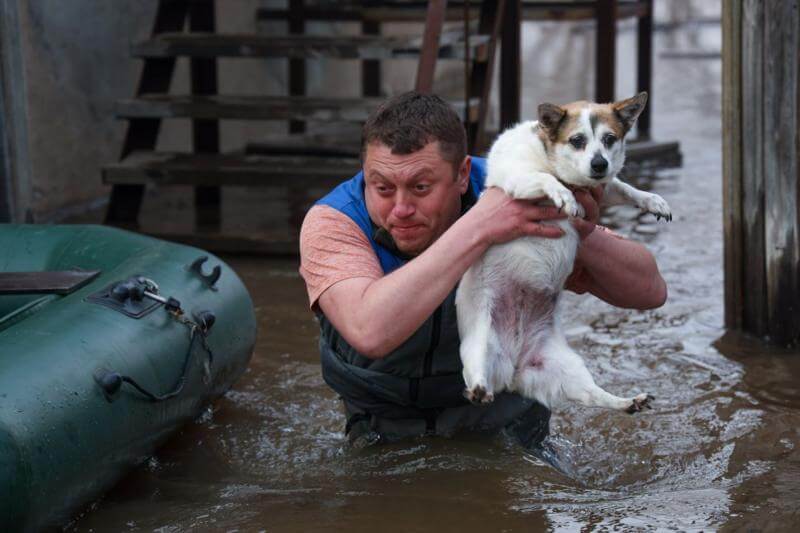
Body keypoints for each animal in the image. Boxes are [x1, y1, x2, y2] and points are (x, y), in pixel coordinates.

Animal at [456, 92, 668, 412]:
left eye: (609, 139)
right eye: (577, 140)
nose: (599, 164)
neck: (552, 159)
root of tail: (513, 369)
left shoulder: (603, 188)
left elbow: (623, 187)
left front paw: (651, 200)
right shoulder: (517, 180)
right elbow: (547, 180)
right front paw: (563, 195)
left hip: (565, 368)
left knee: (594, 395)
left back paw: (628, 402)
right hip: (480, 344)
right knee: (477, 374)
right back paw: (480, 389)